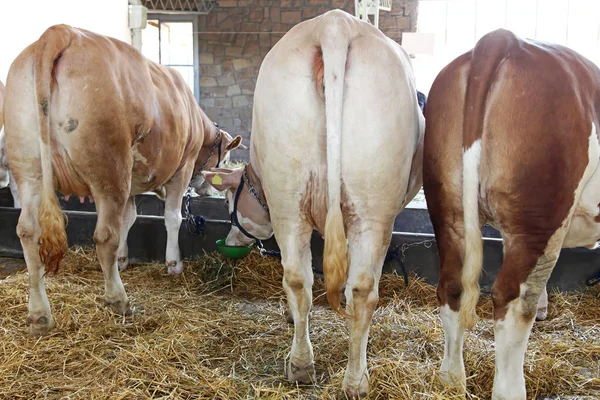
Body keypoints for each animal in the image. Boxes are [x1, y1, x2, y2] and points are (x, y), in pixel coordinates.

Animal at [4, 25, 244, 336]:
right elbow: (172, 217)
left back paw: (39, 315)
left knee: (28, 232)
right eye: (224, 159)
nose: (208, 189)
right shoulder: (181, 168)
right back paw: (118, 299)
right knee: (105, 235)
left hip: (29, 168)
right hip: (108, 168)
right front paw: (173, 263)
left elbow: (130, 219)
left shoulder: (131, 182)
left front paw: (123, 258)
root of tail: (61, 32)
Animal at [199, 9, 424, 396]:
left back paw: (302, 365)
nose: (230, 239)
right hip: (372, 208)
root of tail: (333, 25)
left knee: (298, 278)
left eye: (230, 201)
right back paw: (355, 381)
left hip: (289, 196)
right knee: (360, 289)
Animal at [422, 28, 600, 400]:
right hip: (539, 218)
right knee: (514, 303)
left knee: (452, 287)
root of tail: (504, 39)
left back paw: (451, 379)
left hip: (448, 208)